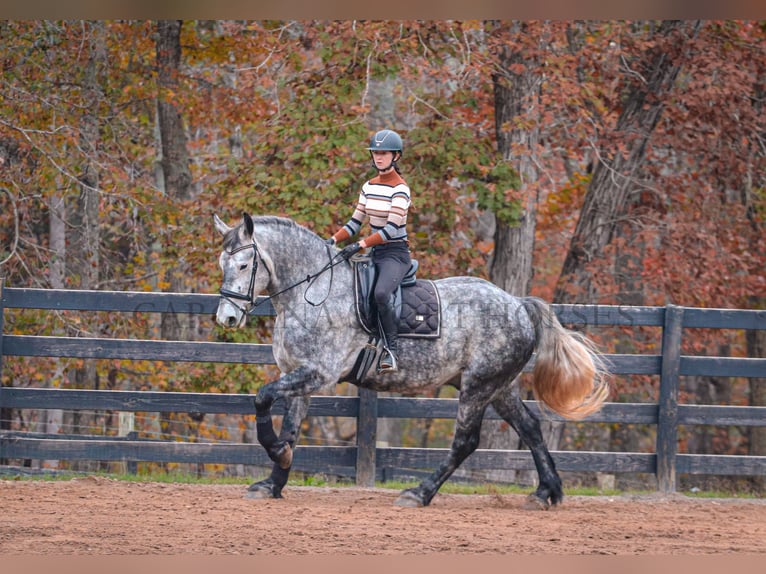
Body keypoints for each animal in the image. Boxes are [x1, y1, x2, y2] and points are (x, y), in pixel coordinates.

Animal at [213, 215, 608, 508]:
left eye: (244, 264)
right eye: (222, 263)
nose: (227, 318)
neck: (314, 293)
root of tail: (518, 304)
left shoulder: (317, 374)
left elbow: (262, 398)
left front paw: (276, 455)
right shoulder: (299, 376)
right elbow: (291, 430)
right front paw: (273, 480)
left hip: (478, 387)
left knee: (466, 441)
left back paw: (420, 493)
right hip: (498, 387)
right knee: (530, 427)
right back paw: (545, 492)